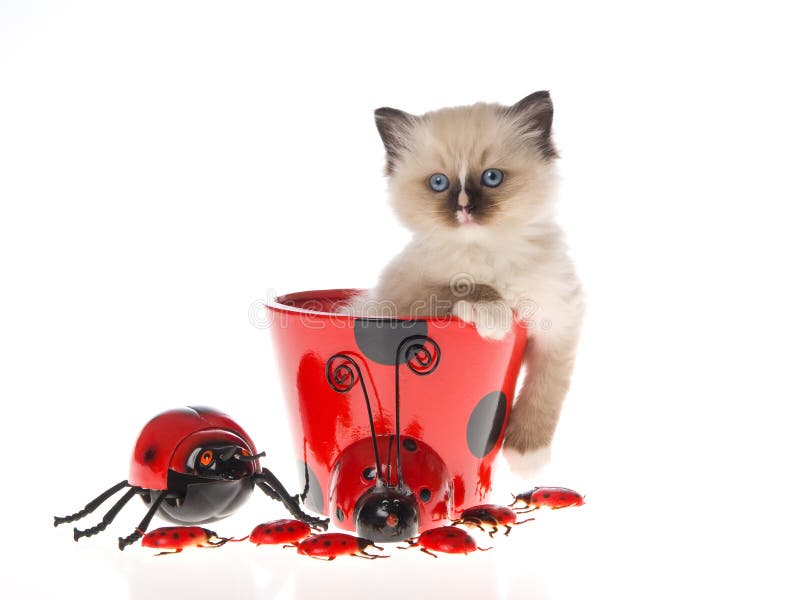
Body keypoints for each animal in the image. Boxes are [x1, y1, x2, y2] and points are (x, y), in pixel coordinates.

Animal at [348, 91, 580, 476]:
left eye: (492, 177)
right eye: (439, 183)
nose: (464, 208)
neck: (486, 250)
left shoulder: (558, 321)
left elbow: (545, 388)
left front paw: (526, 454)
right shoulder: (406, 296)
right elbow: (460, 286)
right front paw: (494, 314)